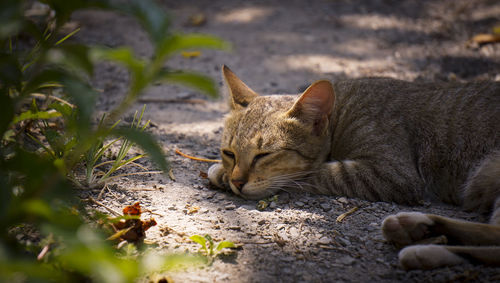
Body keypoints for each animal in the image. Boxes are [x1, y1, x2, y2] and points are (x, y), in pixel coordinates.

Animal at [207, 65, 500, 270]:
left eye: (263, 155)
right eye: (229, 153)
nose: (237, 182)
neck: (340, 114)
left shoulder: (392, 173)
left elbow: (315, 173)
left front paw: (219, 173)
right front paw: (222, 172)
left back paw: (425, 249)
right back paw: (414, 228)